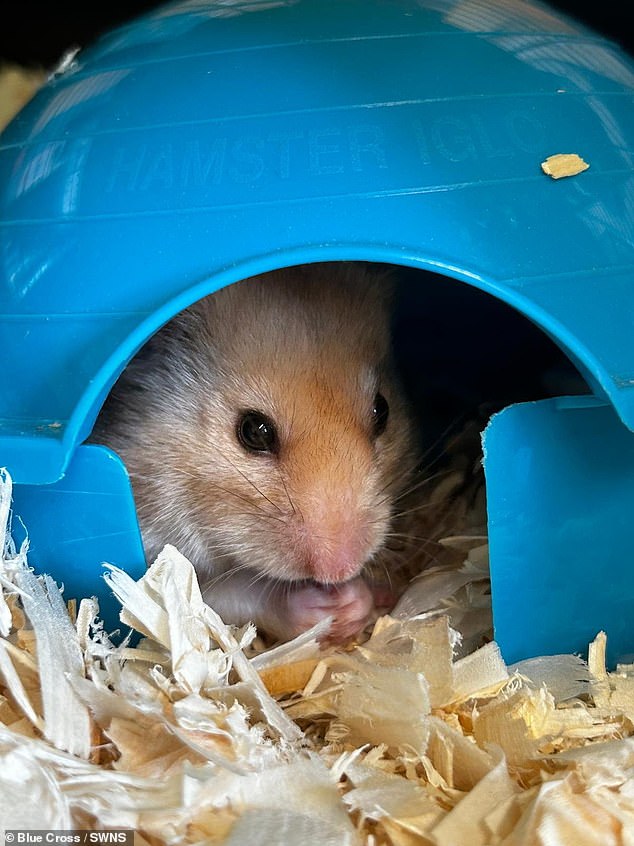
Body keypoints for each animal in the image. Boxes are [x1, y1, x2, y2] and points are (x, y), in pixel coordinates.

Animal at [90, 264, 414, 644]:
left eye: (382, 411)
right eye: (253, 431)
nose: (339, 570)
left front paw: (361, 598)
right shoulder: (158, 556)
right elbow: (217, 596)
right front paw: (328, 607)